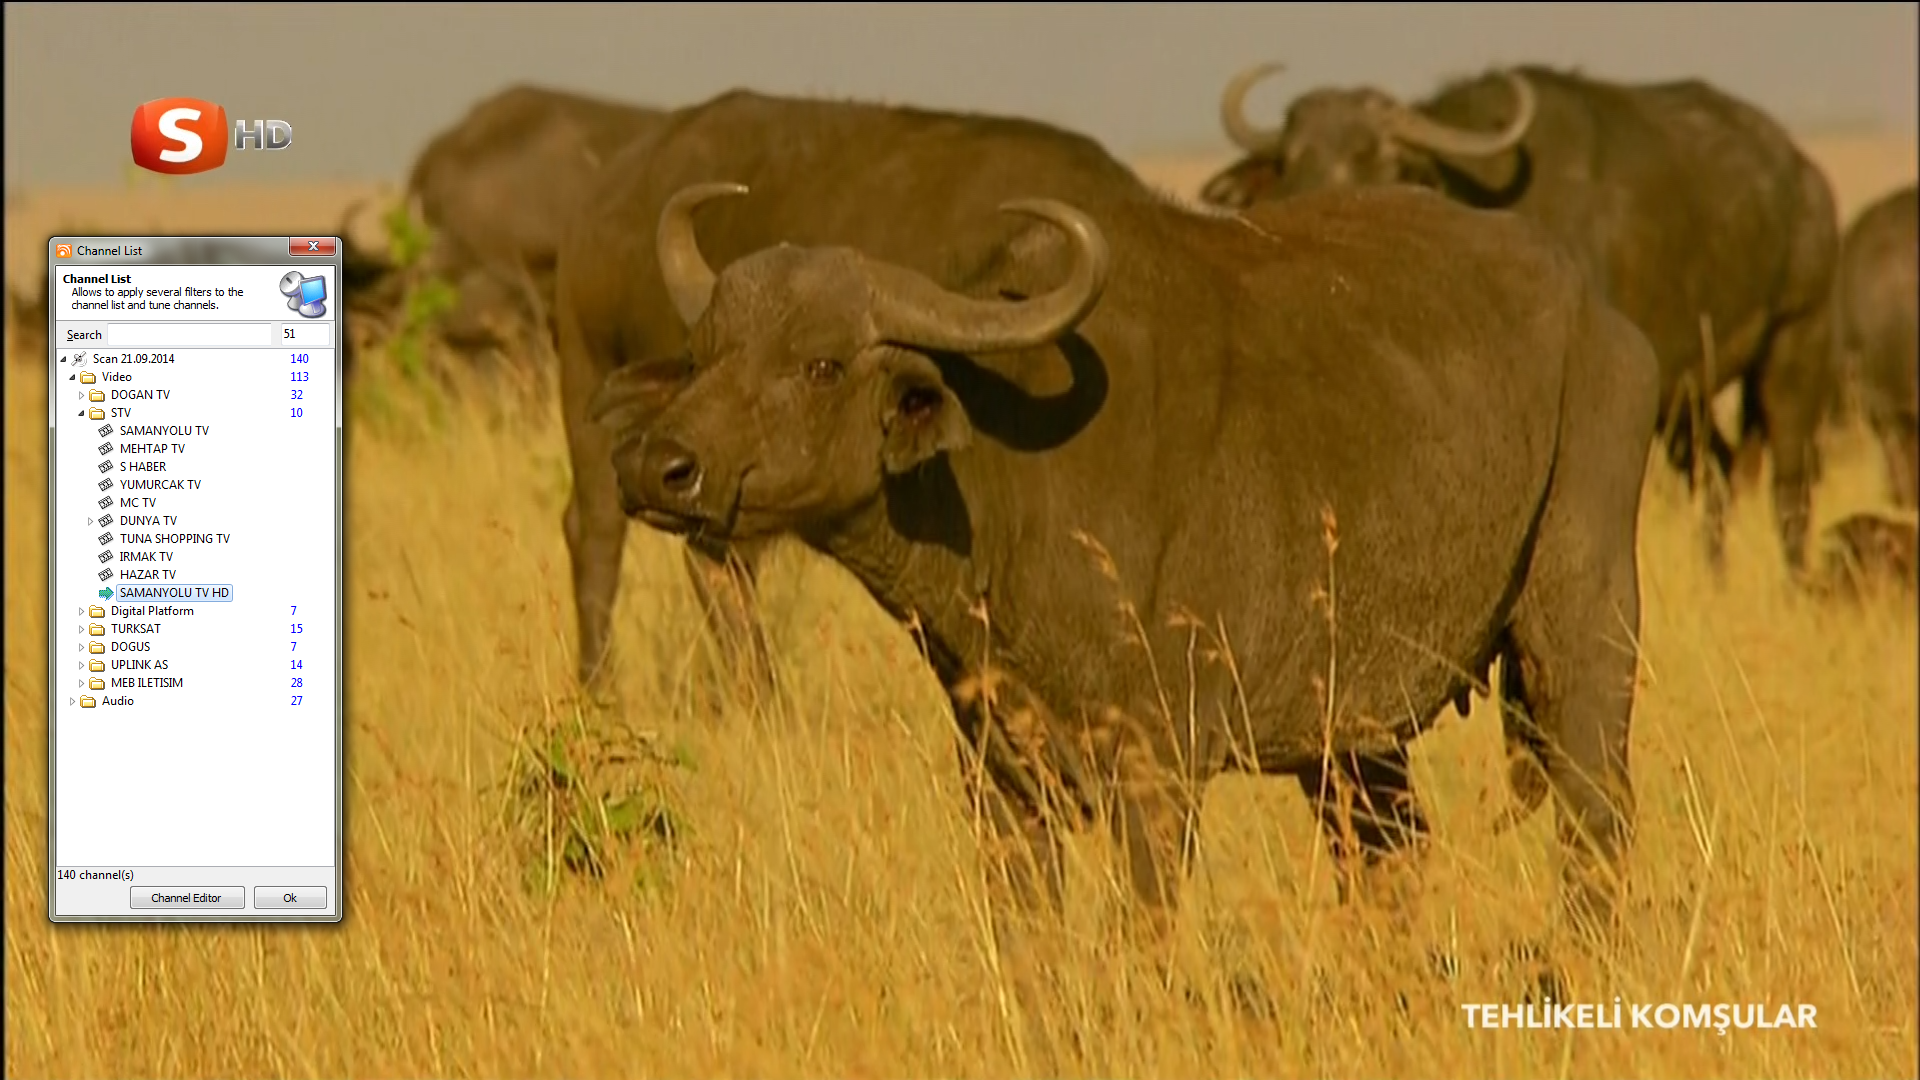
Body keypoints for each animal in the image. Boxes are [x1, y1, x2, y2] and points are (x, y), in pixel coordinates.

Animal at [595, 176, 1666, 957]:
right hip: (1353, 738)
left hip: (1582, 630)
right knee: (1390, 854)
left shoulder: (1158, 772)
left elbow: (1140, 936)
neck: (1013, 480)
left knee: (1596, 815)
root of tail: (1608, 321)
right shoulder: (1001, 778)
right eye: (706, 350)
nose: (658, 465)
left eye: (820, 365)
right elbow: (1026, 939)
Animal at [1198, 62, 1843, 576]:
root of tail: (1806, 178)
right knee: (1717, 473)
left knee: (1790, 485)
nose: (1291, 213)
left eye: (1376, 157)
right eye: (1287, 159)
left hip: (1797, 343)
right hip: (1687, 393)